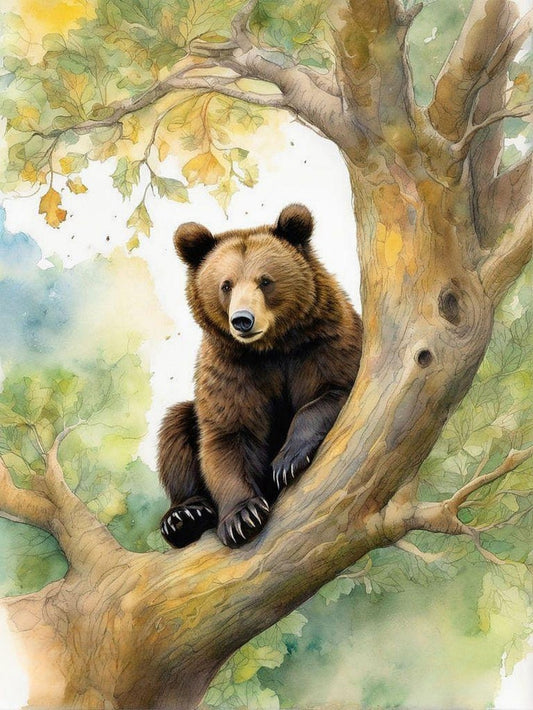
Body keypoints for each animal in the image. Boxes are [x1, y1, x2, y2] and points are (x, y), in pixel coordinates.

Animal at [158, 204, 362, 549]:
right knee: (176, 426)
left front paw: (287, 461)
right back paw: (184, 517)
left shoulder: (324, 342)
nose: (243, 320)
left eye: (265, 281)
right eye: (226, 284)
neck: (272, 347)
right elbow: (228, 435)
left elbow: (334, 390)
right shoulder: (232, 369)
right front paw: (242, 516)